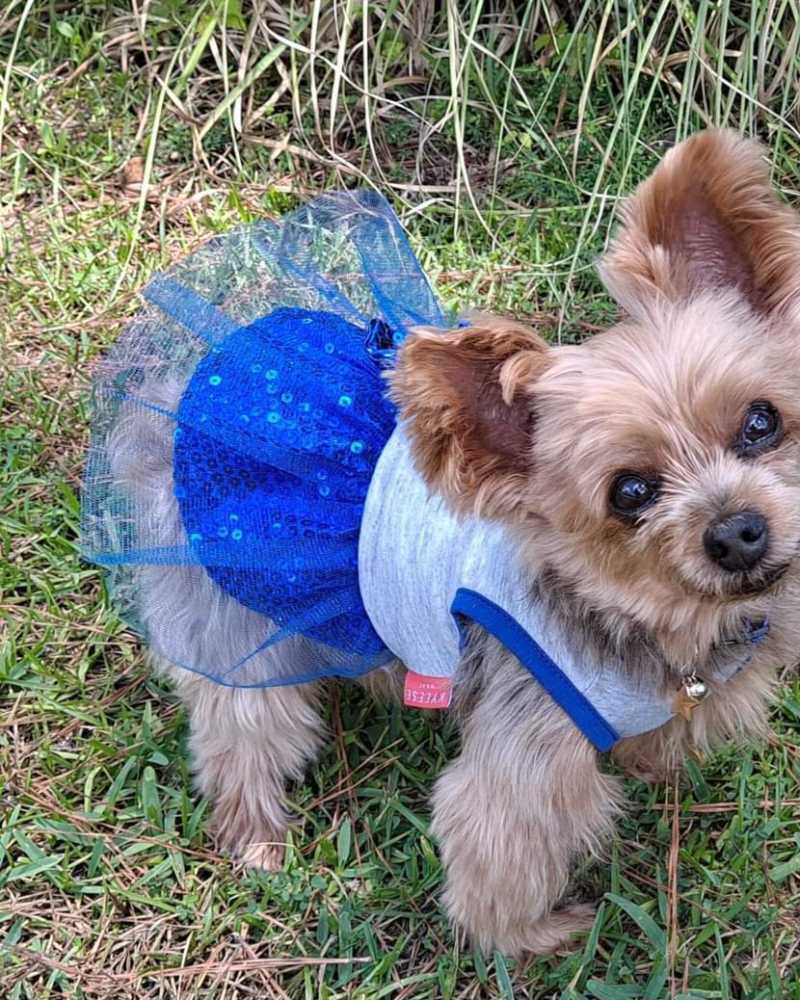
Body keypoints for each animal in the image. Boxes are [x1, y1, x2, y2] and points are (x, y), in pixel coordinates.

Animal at [98, 129, 800, 957]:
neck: (637, 608)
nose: (738, 532)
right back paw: (258, 837)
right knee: (245, 730)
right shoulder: (528, 756)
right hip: (237, 622)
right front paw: (534, 937)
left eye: (761, 422)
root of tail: (179, 387)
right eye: (629, 493)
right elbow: (499, 852)